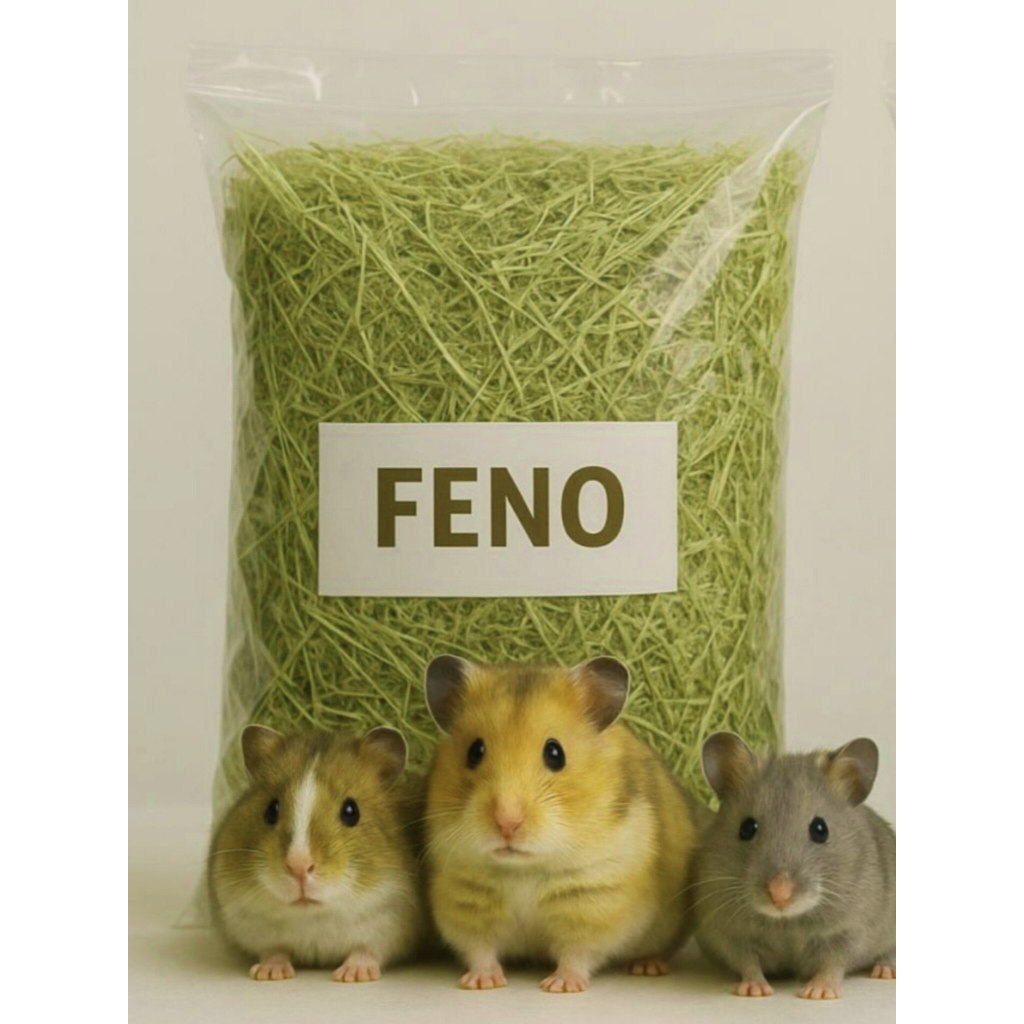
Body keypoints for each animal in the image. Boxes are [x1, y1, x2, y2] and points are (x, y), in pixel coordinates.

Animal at [207, 724, 425, 982]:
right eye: (271, 810)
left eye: (351, 811)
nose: (298, 866)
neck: (314, 915)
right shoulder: (251, 924)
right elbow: (274, 950)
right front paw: (268, 974)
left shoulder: (389, 926)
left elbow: (365, 951)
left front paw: (351, 977)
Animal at [423, 655, 705, 993]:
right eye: (474, 751)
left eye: (555, 753)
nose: (507, 823)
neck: (524, 869)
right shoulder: (466, 901)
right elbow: (480, 949)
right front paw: (481, 984)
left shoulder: (593, 903)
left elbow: (576, 953)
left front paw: (560, 987)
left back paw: (647, 967)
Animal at [693, 732, 896, 1000]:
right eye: (746, 828)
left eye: (820, 829)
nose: (779, 895)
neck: (788, 920)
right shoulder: (729, 934)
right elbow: (747, 963)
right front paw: (755, 991)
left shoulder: (850, 931)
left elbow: (834, 962)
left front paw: (817, 993)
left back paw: (885, 971)